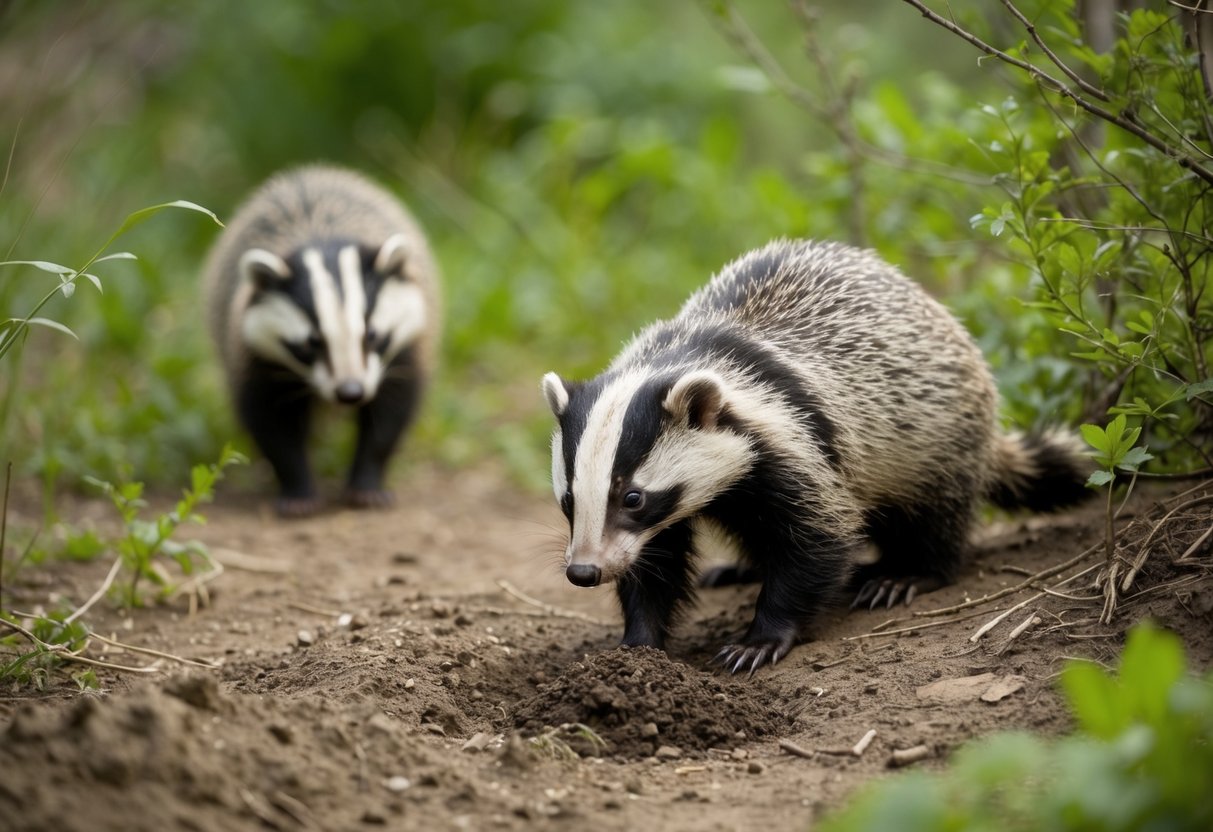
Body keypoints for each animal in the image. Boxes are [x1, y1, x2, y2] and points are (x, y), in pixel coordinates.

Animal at [202, 165, 439, 516]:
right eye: (312, 342)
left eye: (371, 333)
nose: (350, 392)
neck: (322, 236)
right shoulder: (252, 354)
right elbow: (271, 421)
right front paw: (299, 494)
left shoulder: (407, 348)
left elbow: (390, 412)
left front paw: (367, 489)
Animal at [541, 239, 1088, 674]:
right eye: (568, 500)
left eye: (633, 497)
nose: (584, 571)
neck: (689, 349)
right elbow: (656, 561)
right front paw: (636, 644)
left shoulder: (797, 440)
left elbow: (818, 536)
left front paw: (758, 640)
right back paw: (739, 568)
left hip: (938, 435)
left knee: (935, 512)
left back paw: (904, 573)